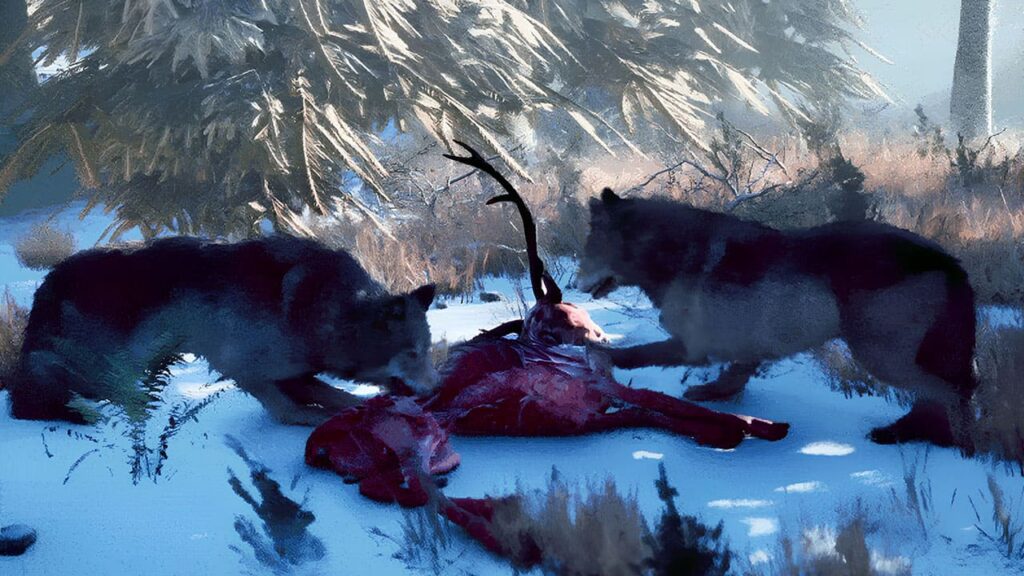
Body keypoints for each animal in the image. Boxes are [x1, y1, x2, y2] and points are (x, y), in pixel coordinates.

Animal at [6, 235, 437, 425]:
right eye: (413, 354)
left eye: (427, 352)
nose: (432, 391)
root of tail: (48, 282)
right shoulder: (244, 369)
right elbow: (290, 411)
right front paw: (317, 419)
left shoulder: (295, 373)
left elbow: (336, 396)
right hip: (105, 366)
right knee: (28, 402)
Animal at [577, 189, 977, 447]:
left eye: (590, 247)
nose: (573, 284)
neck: (674, 253)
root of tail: (949, 261)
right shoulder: (743, 348)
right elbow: (734, 377)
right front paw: (716, 395)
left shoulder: (691, 348)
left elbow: (632, 354)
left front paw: (595, 352)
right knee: (939, 393)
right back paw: (902, 433)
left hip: (880, 357)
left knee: (954, 390)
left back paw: (959, 444)